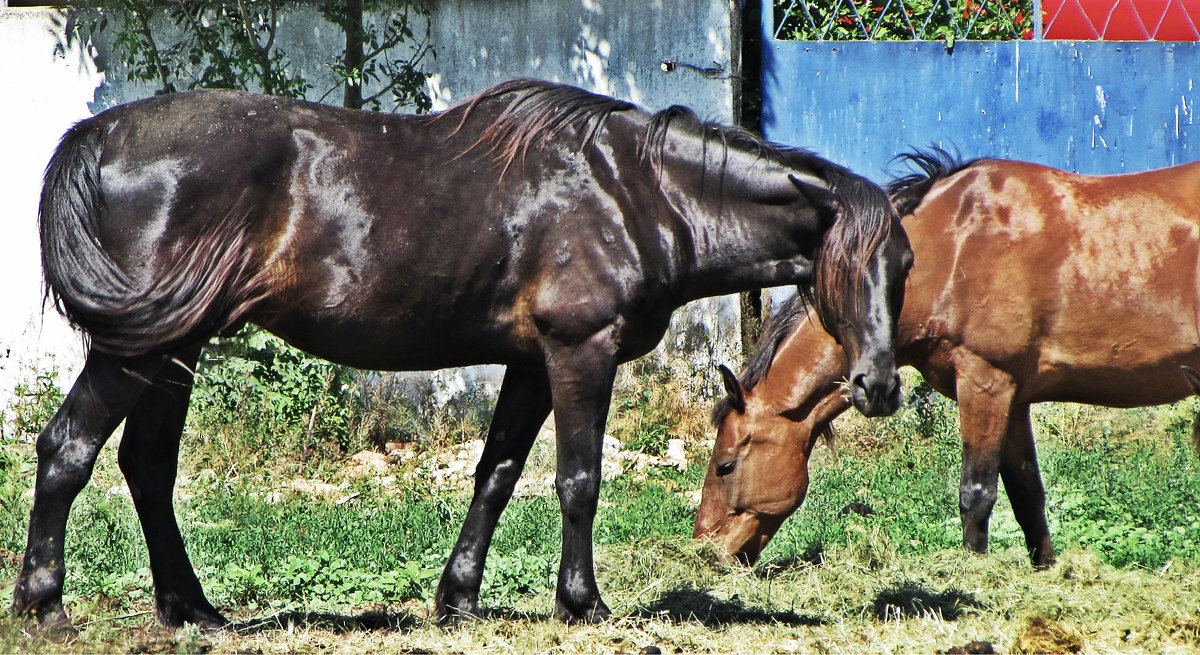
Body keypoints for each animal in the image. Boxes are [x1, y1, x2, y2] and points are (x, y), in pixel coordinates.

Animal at [11, 79, 907, 628]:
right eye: (846, 269)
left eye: (902, 266)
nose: (880, 385)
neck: (635, 193)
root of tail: (99, 134)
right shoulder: (580, 351)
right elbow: (578, 480)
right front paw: (582, 602)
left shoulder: (531, 362)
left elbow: (497, 474)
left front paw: (458, 597)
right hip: (141, 348)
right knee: (68, 449)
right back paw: (46, 604)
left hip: (177, 347)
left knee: (146, 465)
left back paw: (191, 607)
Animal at [696, 151, 1200, 566]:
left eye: (725, 466)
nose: (705, 548)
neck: (951, 251)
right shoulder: (1014, 398)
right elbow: (1027, 496)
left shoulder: (985, 383)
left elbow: (976, 493)